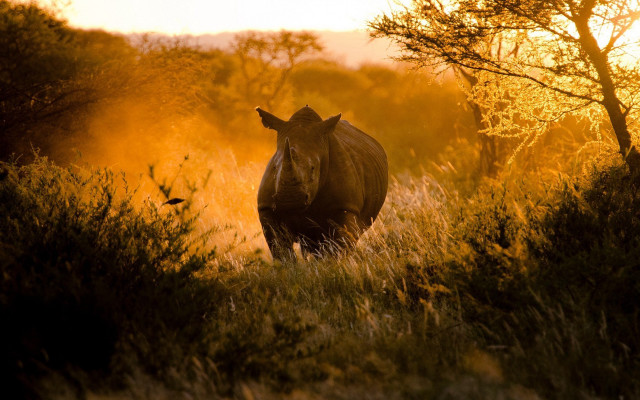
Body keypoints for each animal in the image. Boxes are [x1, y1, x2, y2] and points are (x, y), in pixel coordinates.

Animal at [256, 105, 388, 261]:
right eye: (275, 168)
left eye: (313, 168)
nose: (289, 199)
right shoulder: (266, 208)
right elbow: (280, 249)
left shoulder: (345, 206)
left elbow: (339, 245)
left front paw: (335, 264)